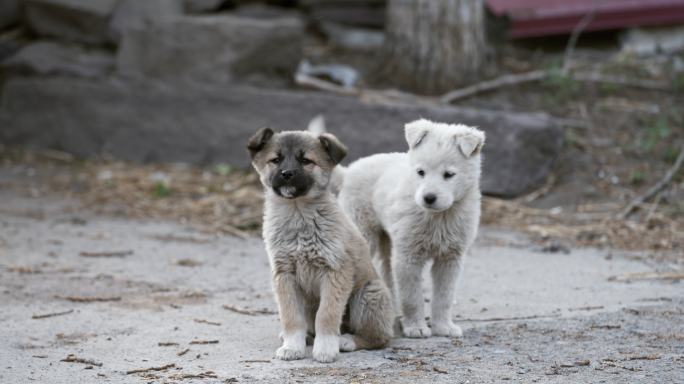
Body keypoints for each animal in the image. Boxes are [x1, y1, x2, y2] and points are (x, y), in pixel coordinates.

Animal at [248, 127, 392, 364]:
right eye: (275, 160)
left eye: (306, 160)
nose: (287, 173)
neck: (298, 213)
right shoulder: (284, 276)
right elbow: (290, 316)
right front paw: (292, 346)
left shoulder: (335, 271)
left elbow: (327, 314)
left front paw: (325, 348)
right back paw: (304, 337)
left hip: (367, 294)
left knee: (379, 338)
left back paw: (347, 340)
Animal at [330, 118, 480, 340]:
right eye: (420, 172)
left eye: (449, 175)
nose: (428, 198)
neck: (438, 217)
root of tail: (349, 172)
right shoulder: (408, 256)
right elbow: (412, 296)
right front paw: (416, 327)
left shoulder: (451, 258)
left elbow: (444, 295)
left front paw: (444, 327)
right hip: (364, 231)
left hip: (388, 242)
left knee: (386, 273)